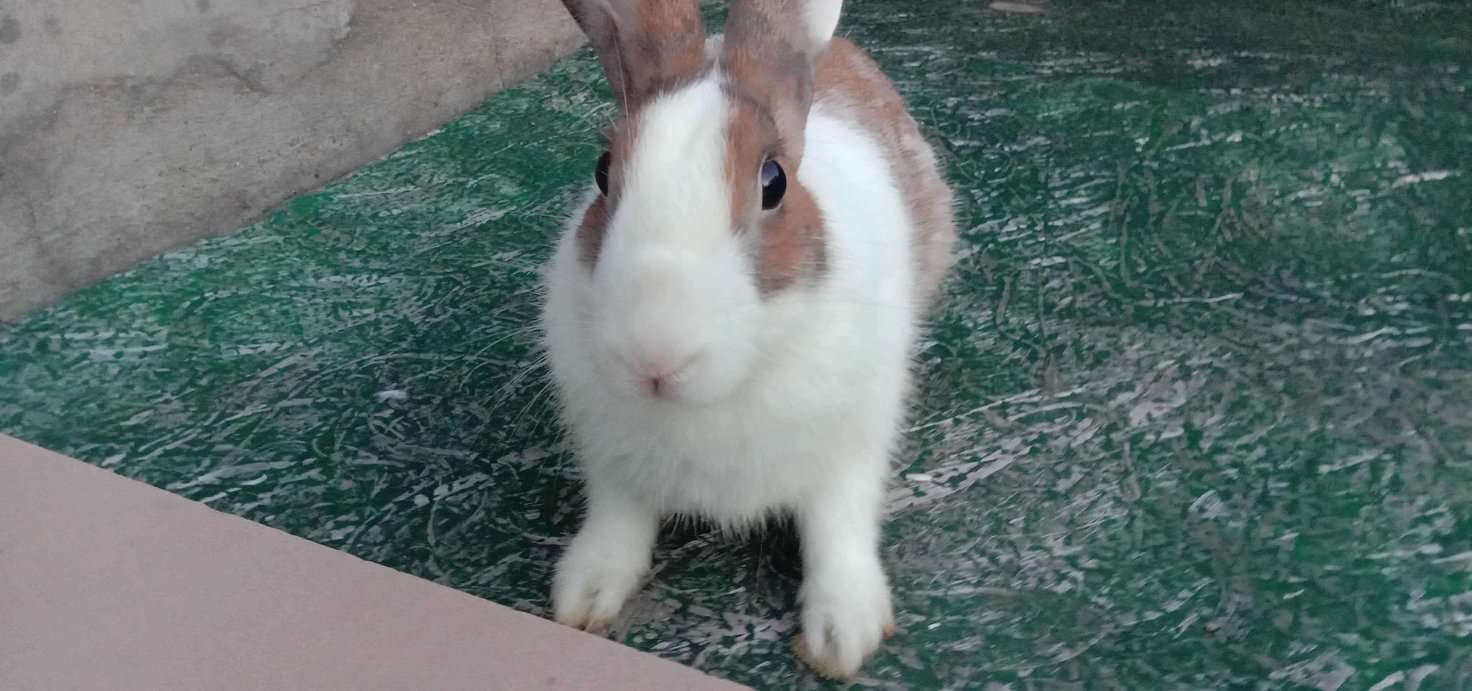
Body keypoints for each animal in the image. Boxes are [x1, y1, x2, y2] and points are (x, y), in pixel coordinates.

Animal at [540, 0, 956, 679]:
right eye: (601, 174)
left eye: (774, 182)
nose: (654, 357)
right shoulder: (611, 462)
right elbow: (617, 520)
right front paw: (586, 593)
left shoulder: (851, 448)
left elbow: (838, 527)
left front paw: (842, 635)